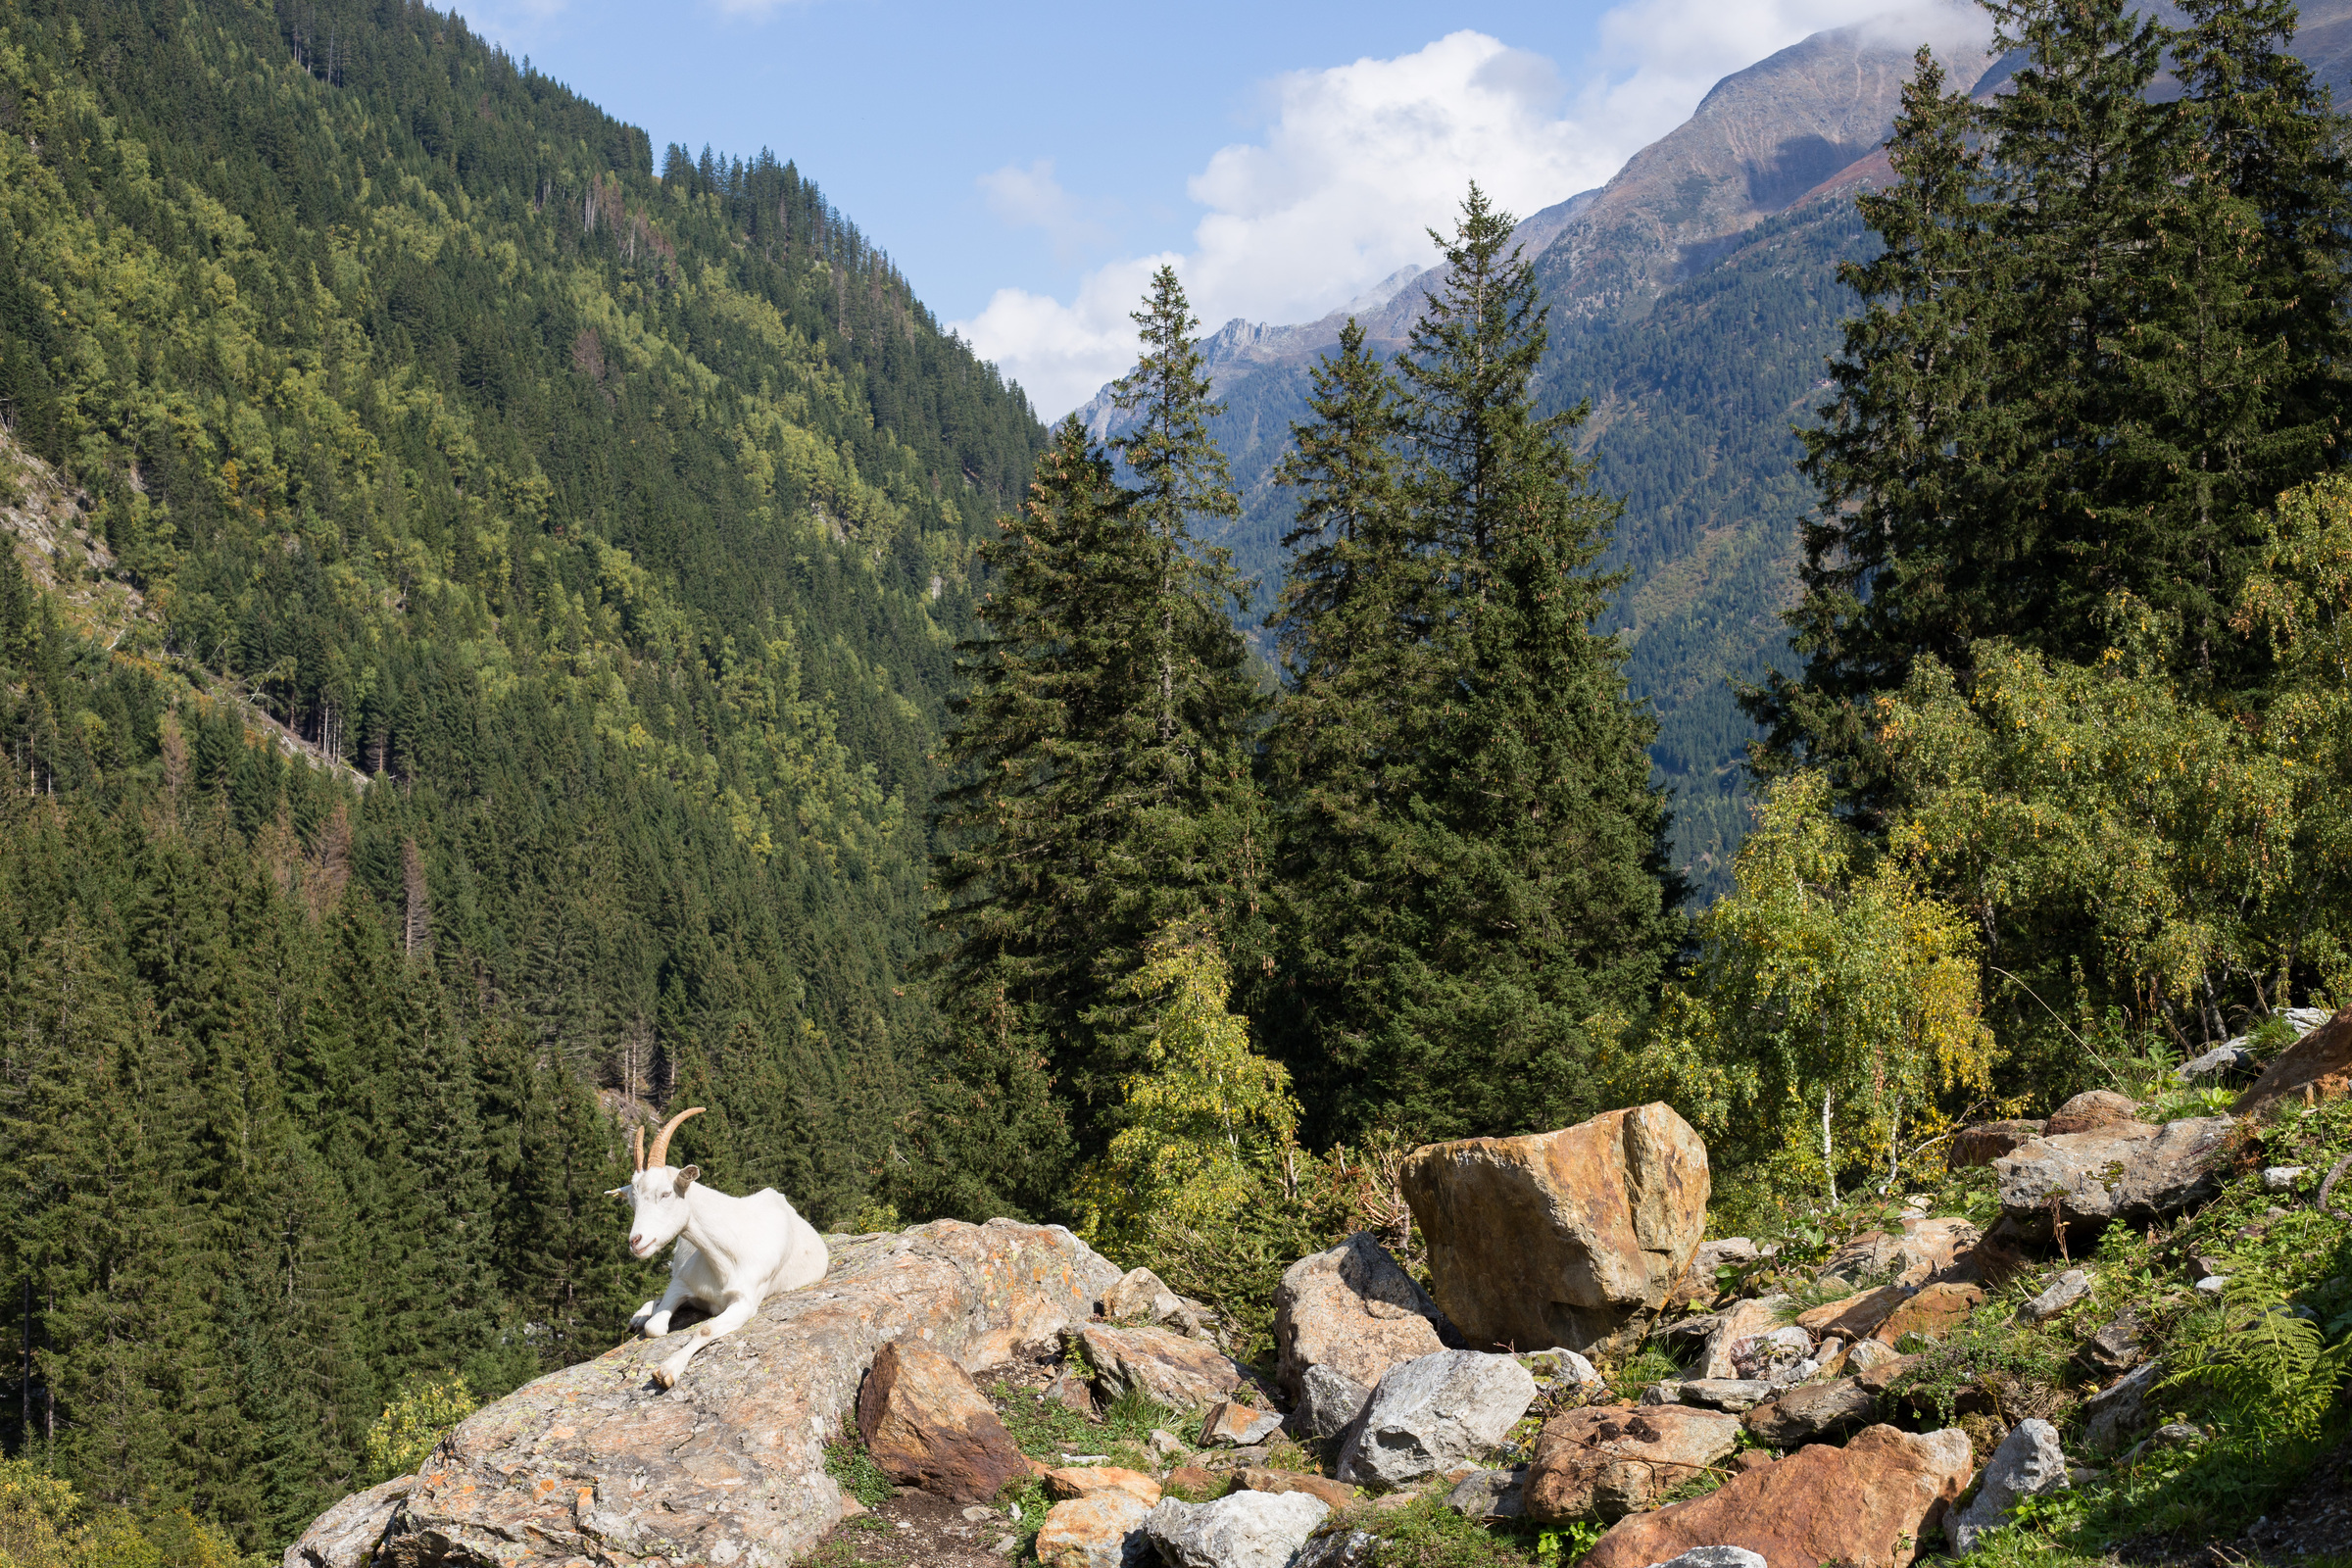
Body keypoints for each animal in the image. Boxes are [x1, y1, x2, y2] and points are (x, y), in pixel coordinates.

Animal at [611, 1107, 829, 1388]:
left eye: (666, 1193)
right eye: (632, 1202)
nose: (636, 1241)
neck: (727, 1254)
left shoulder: (746, 1301)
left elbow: (705, 1329)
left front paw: (667, 1370)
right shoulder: (682, 1281)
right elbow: (655, 1327)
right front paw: (649, 1319)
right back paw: (639, 1316)